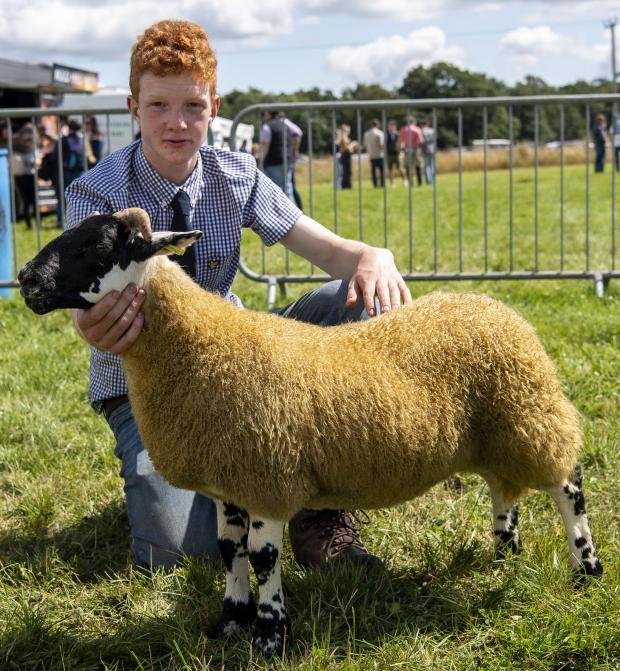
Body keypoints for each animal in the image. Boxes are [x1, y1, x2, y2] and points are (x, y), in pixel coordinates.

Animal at [19, 209, 600, 656]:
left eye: (96, 245)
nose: (25, 280)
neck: (198, 346)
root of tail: (494, 306)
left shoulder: (267, 480)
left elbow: (262, 559)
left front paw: (270, 636)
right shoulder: (230, 484)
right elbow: (229, 553)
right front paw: (230, 623)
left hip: (529, 412)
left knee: (567, 485)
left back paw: (585, 569)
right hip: (496, 429)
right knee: (503, 487)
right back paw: (504, 550)